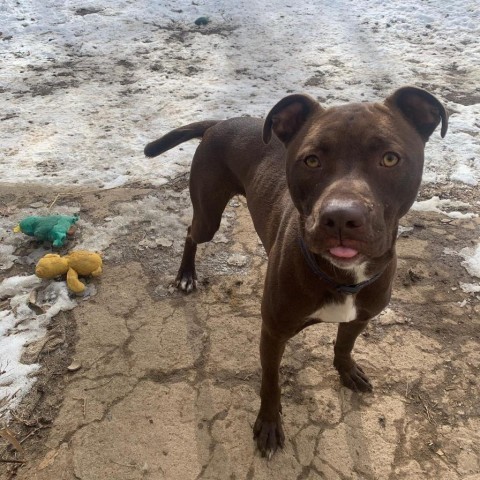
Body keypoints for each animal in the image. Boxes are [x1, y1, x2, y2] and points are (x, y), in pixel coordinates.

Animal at [144, 86, 448, 458]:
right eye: (311, 160)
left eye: (390, 159)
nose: (341, 218)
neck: (342, 278)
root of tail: (220, 123)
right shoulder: (273, 332)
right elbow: (270, 382)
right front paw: (270, 424)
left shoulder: (361, 316)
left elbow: (344, 344)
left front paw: (346, 370)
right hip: (209, 215)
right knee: (191, 231)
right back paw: (186, 275)